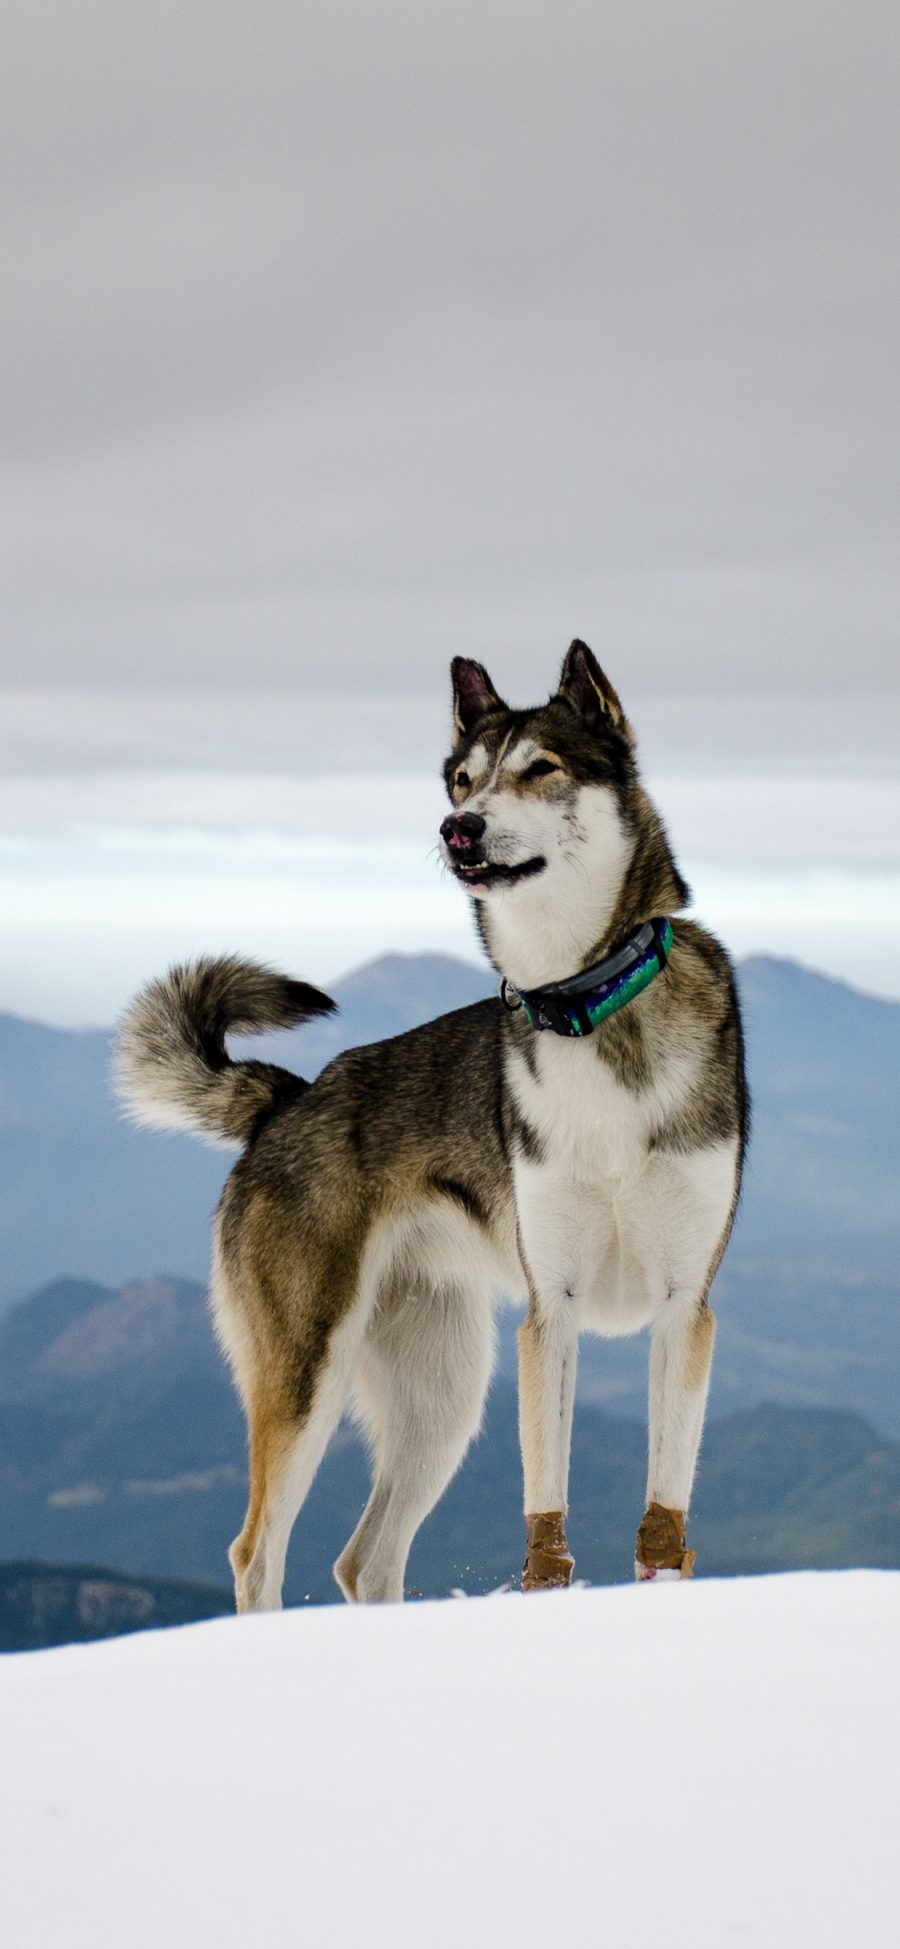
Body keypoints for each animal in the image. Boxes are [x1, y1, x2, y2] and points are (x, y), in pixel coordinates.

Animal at [115, 639, 748, 1598]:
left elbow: (663, 1526)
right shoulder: (552, 1312)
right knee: (258, 1552)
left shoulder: (684, 1308)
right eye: (461, 779)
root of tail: (286, 1098)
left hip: (441, 1394)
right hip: (309, 1369)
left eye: (540, 768)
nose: (461, 829)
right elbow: (547, 1520)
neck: (587, 1006)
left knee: (364, 1557)